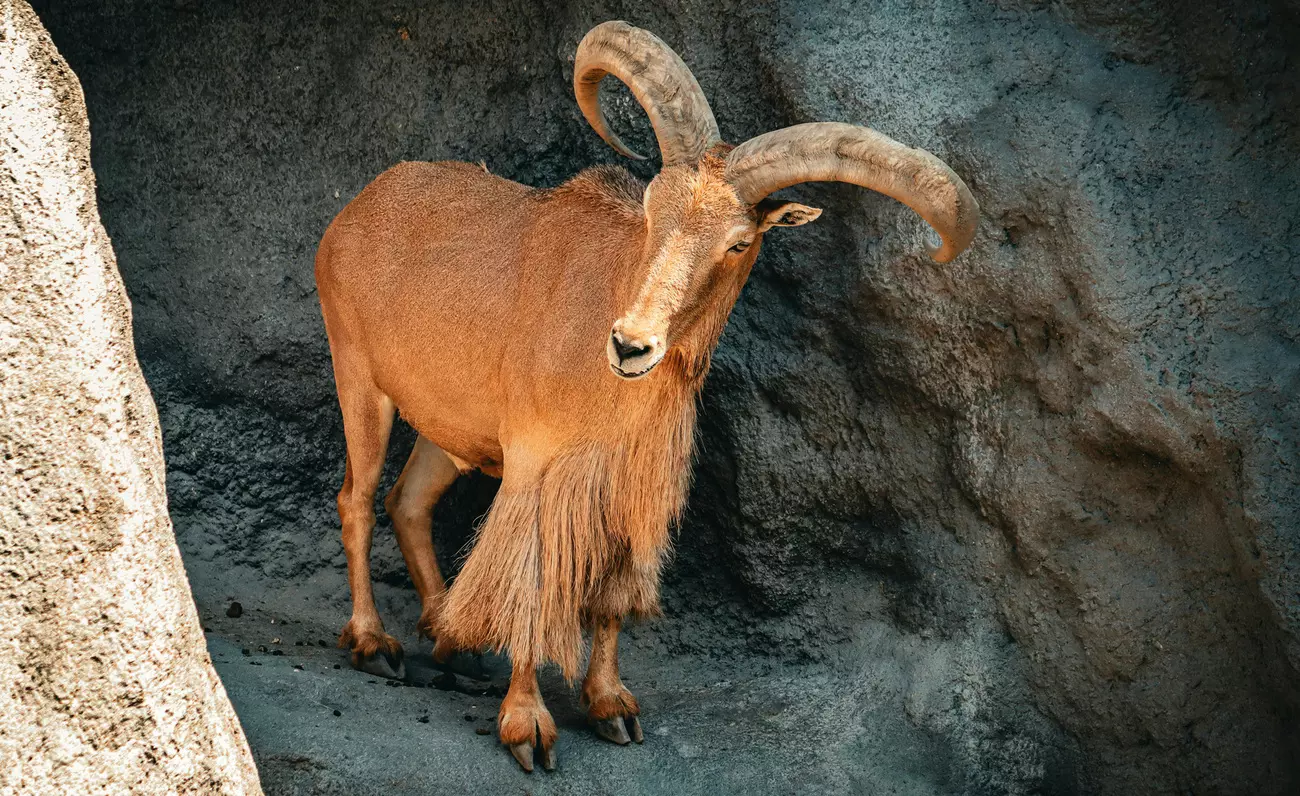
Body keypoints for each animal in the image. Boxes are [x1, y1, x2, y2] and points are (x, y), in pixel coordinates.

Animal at [314, 20, 978, 772]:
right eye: (652, 212)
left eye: (738, 242)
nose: (631, 345)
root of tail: (361, 205)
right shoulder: (537, 467)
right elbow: (530, 584)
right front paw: (528, 726)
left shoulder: (631, 480)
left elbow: (609, 596)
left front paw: (611, 705)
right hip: (358, 377)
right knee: (358, 499)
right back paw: (375, 642)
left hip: (449, 425)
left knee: (410, 502)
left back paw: (452, 642)